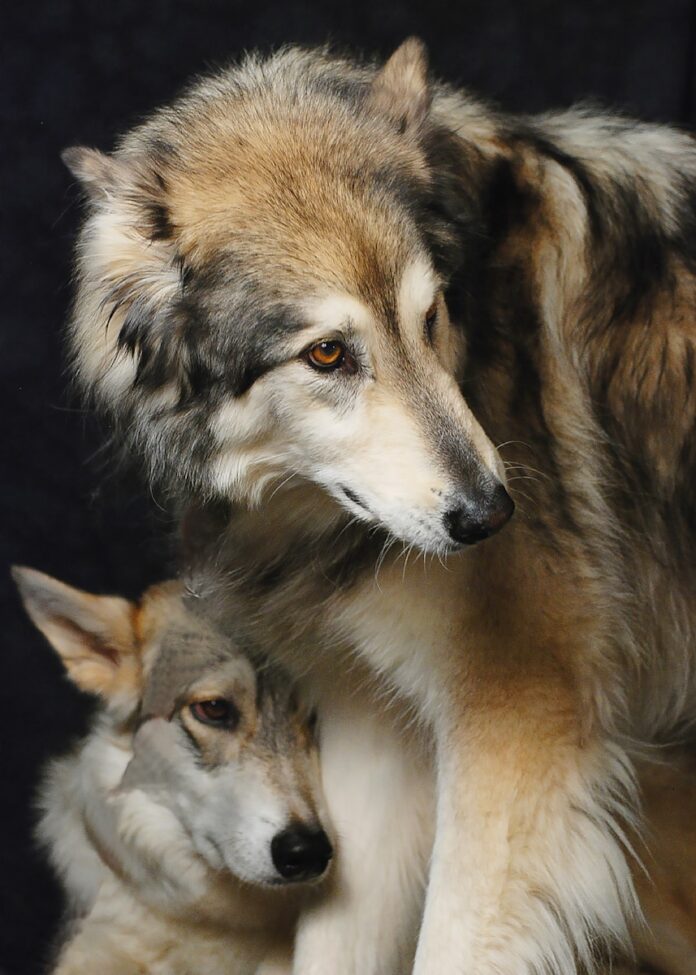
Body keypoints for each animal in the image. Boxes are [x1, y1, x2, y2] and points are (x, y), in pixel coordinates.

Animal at [62, 36, 696, 974]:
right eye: (328, 354)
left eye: (430, 317)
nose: (491, 515)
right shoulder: (379, 739)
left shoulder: (515, 734)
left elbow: (453, 945)